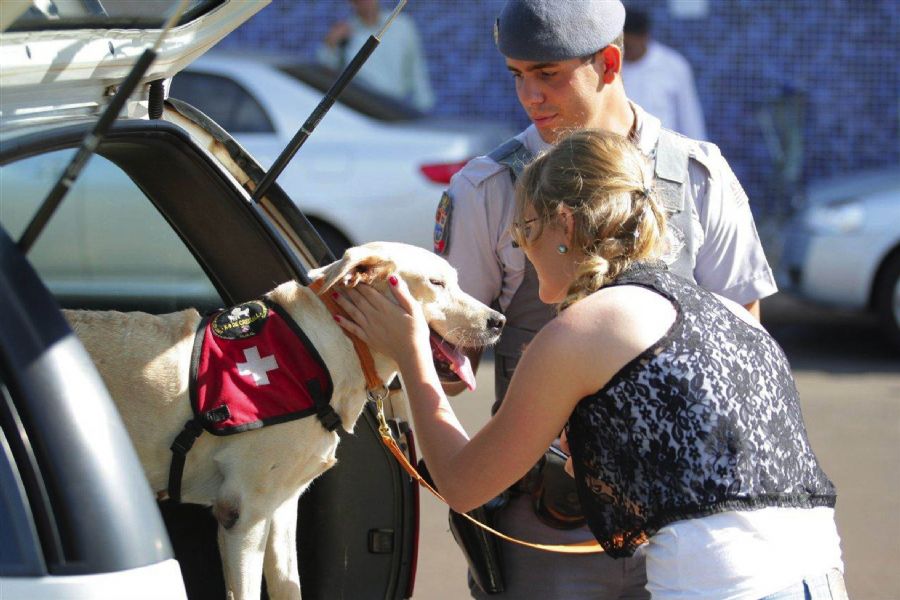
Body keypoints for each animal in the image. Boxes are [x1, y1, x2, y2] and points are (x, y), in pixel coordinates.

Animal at [67, 243, 502, 600]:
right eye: (436, 283)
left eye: (455, 280)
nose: (498, 320)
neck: (327, 346)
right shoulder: (242, 514)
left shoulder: (280, 510)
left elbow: (288, 585)